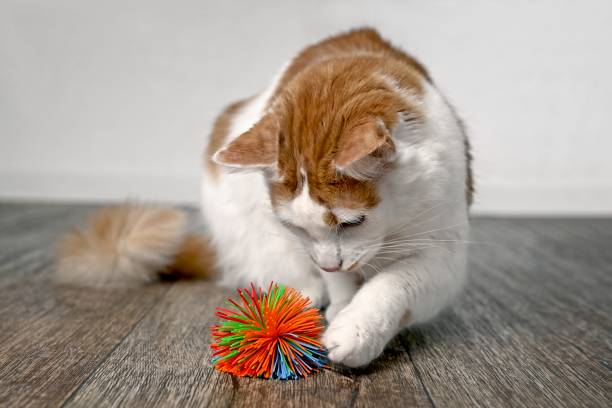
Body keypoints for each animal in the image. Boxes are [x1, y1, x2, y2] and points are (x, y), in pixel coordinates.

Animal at [57, 27, 474, 366]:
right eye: (297, 228)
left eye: (353, 222)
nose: (329, 265)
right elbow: (342, 285)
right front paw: (341, 307)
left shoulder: (443, 253)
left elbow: (391, 286)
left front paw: (356, 327)